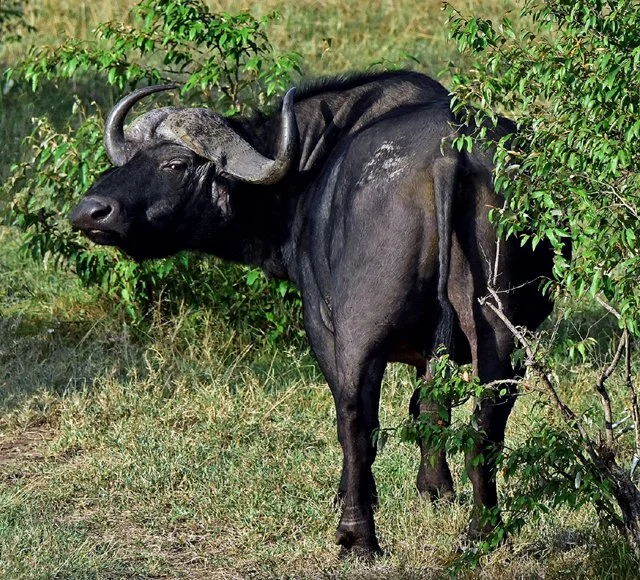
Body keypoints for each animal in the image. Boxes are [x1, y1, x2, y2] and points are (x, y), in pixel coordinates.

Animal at [70, 71, 555, 556]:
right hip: (502, 335)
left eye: (175, 164)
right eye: (130, 158)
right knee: (486, 425)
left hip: (360, 333)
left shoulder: (322, 329)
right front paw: (435, 490)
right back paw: (482, 532)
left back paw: (357, 536)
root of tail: (448, 154)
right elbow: (430, 410)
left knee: (356, 422)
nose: (90, 212)